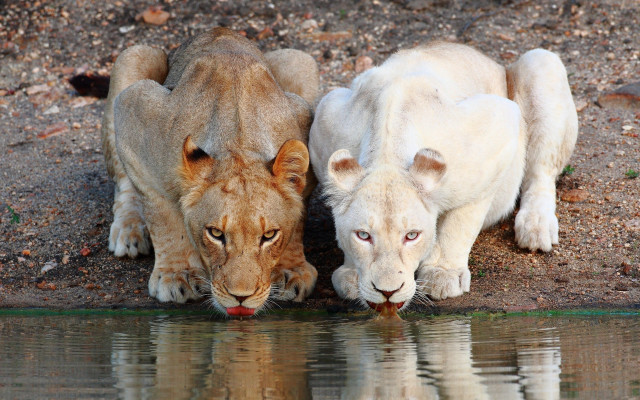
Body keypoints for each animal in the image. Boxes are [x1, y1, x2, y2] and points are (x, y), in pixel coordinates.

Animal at [101, 28, 319, 316]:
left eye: (269, 236)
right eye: (216, 234)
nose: (241, 297)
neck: (239, 141)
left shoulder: (305, 123)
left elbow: (298, 218)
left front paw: (290, 270)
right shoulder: (135, 108)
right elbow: (162, 215)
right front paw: (177, 274)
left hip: (299, 60)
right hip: (134, 56)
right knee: (124, 184)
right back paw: (129, 231)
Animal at [309, 42, 578, 314]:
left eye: (412, 236)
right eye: (363, 235)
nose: (387, 292)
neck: (387, 150)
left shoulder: (498, 127)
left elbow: (460, 222)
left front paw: (442, 274)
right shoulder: (325, 117)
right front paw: (351, 275)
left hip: (541, 63)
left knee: (541, 173)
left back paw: (536, 227)